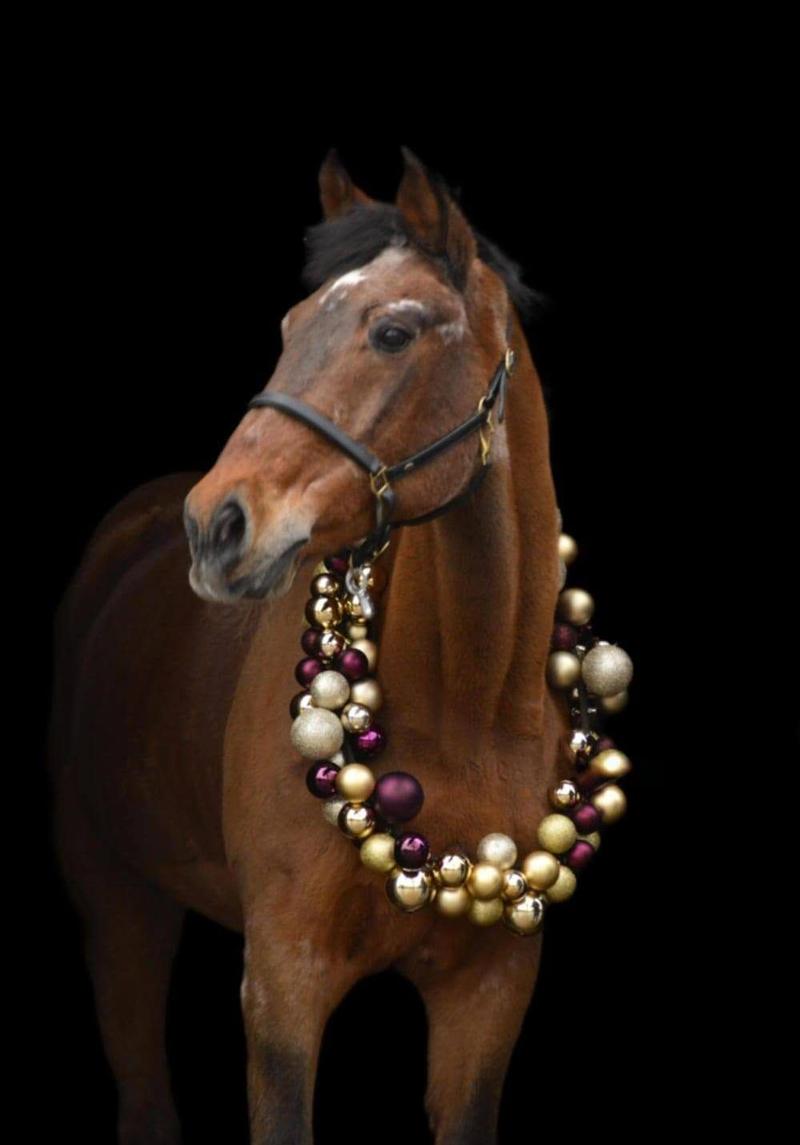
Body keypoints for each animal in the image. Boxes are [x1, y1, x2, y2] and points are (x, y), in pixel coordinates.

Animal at [47, 144, 571, 1144]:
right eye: (291, 324)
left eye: (394, 332)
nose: (216, 525)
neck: (468, 709)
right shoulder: (284, 984)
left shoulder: (490, 998)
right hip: (118, 902)